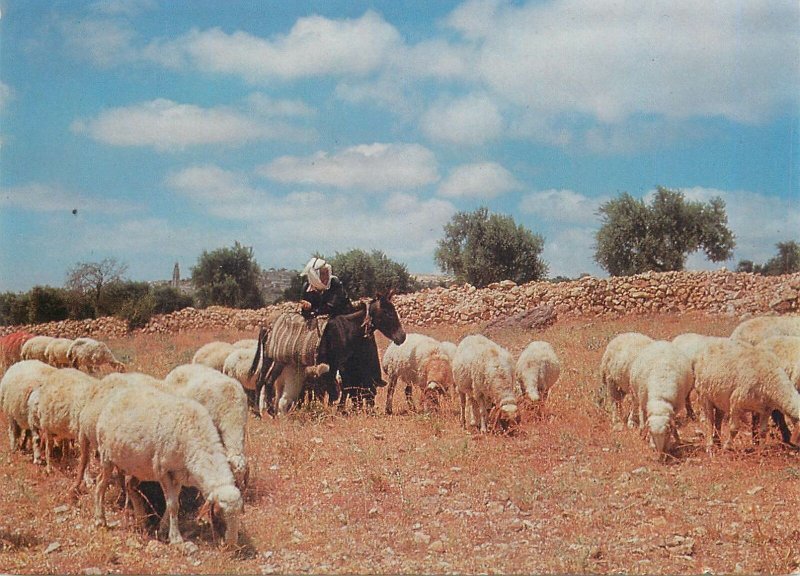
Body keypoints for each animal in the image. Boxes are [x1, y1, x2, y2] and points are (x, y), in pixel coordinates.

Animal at [93, 384, 241, 548]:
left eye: (239, 513)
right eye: (217, 513)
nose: (231, 544)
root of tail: (117, 397)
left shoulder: (179, 475)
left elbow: (173, 503)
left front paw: (163, 529)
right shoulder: (164, 471)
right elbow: (173, 505)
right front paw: (176, 538)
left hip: (138, 467)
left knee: (130, 485)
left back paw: (141, 520)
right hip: (107, 456)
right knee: (101, 483)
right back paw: (100, 519)